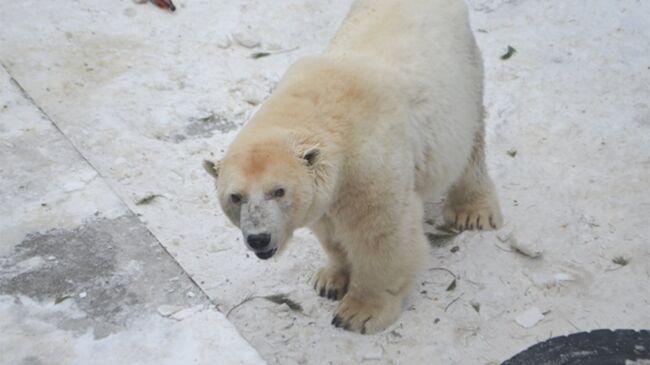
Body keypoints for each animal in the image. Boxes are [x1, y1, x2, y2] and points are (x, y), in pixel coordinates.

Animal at [202, 0, 502, 332]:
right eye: (235, 197)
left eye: (278, 191)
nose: (259, 238)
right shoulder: (329, 193)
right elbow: (330, 232)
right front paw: (329, 281)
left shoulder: (370, 165)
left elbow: (380, 235)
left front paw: (358, 313)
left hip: (463, 81)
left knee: (469, 148)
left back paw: (472, 213)